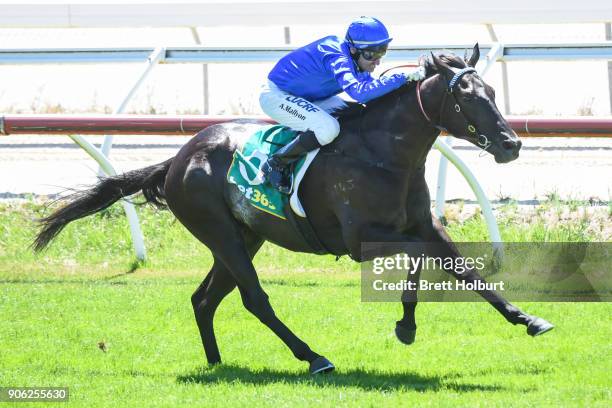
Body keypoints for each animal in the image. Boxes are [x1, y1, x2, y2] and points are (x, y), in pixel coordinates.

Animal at [34, 44, 556, 372]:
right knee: (254, 299)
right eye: (466, 99)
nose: (510, 145)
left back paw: (218, 365)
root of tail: (178, 158)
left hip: (243, 237)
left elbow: (463, 268)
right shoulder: (361, 240)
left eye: (492, 93)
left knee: (204, 299)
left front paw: (528, 319)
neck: (385, 153)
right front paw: (406, 325)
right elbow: (422, 259)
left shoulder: (424, 225)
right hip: (222, 234)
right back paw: (313, 357)